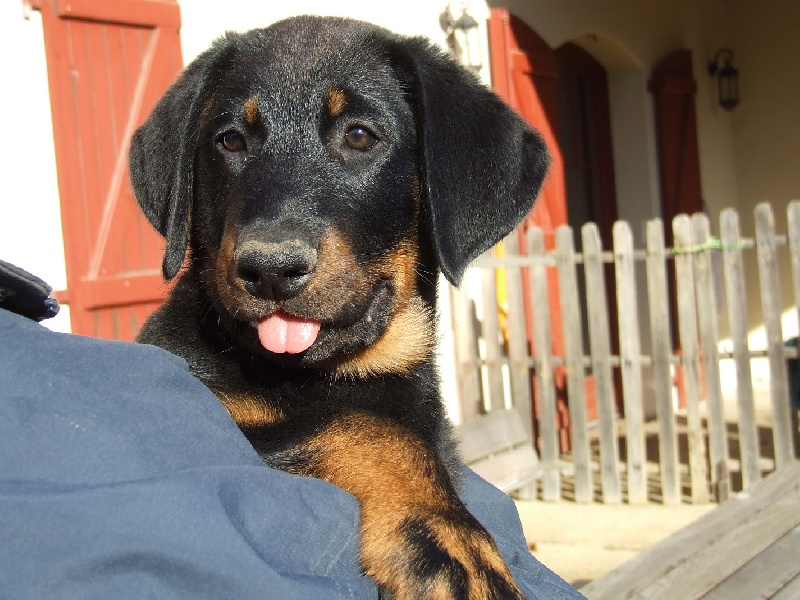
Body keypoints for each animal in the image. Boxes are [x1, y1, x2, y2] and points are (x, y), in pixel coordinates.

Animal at [130, 15, 552, 600]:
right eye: (230, 140)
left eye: (359, 136)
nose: (270, 267)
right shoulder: (221, 414)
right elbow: (369, 427)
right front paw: (450, 541)